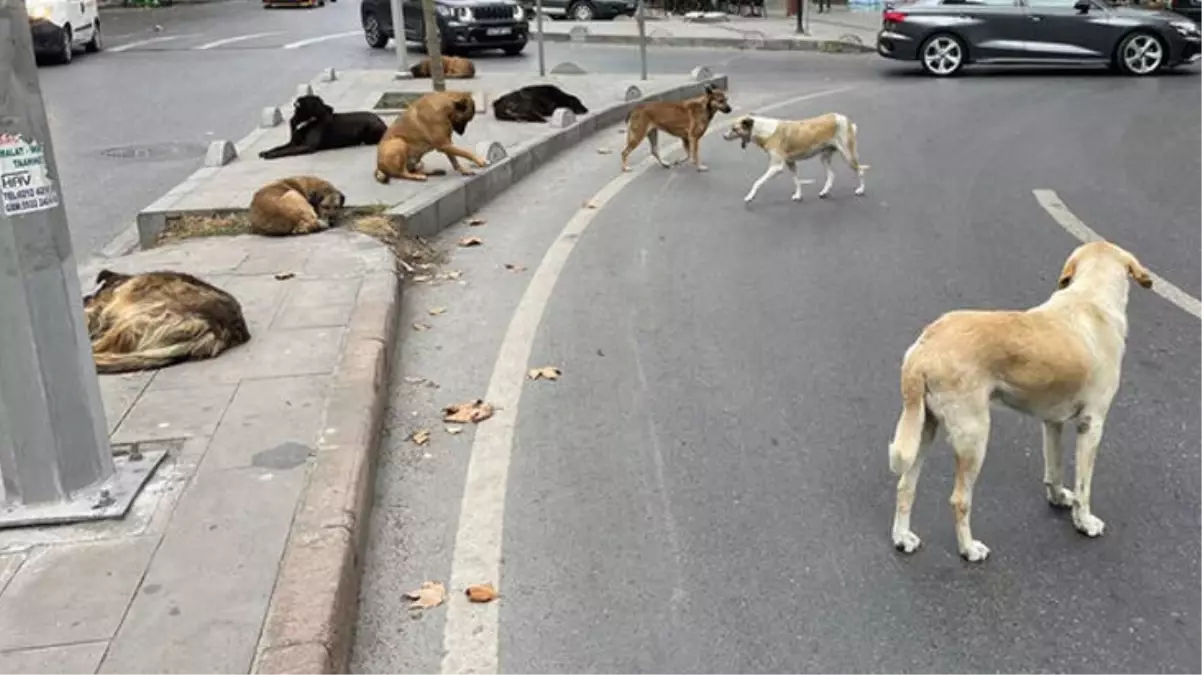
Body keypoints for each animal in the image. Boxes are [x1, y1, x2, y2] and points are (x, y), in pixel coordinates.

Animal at [259, 93, 387, 159]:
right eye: (320, 102)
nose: (332, 108)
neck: (307, 121)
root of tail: (382, 122)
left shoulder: (307, 146)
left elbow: (285, 151)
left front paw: (270, 155)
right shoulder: (293, 143)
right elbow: (278, 147)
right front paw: (266, 151)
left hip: (370, 129)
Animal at [716, 111, 870, 201]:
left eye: (734, 128)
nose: (723, 136)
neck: (763, 130)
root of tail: (844, 118)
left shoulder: (776, 167)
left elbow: (757, 182)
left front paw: (750, 196)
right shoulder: (791, 163)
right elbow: (796, 181)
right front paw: (798, 195)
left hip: (848, 155)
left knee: (860, 171)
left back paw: (861, 190)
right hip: (824, 157)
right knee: (832, 175)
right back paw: (824, 192)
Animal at [889, 239, 1149, 559]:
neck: (1090, 297)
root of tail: (924, 348)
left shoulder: (1051, 422)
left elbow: (1054, 468)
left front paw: (1058, 498)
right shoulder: (1092, 425)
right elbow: (1084, 487)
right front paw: (1084, 522)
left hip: (923, 429)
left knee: (905, 486)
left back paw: (902, 538)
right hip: (974, 437)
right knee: (959, 500)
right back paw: (969, 549)